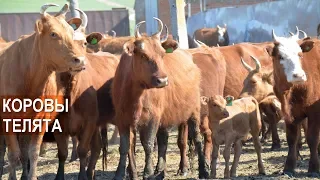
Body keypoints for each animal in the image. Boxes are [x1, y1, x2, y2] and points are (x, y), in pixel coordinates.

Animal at [0, 3, 86, 180]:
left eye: (71, 32)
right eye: (53, 33)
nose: (80, 60)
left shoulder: (40, 118)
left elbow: (32, 152)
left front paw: (31, 176)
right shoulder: (7, 119)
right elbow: (13, 153)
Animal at [112, 17, 210, 180]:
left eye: (162, 54)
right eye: (143, 55)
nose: (163, 80)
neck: (135, 95)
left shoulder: (153, 117)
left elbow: (148, 144)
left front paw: (148, 172)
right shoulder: (122, 119)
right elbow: (125, 146)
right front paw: (120, 174)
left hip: (194, 111)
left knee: (196, 138)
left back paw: (203, 170)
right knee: (164, 141)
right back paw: (161, 170)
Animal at [264, 30, 318, 176]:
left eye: (300, 54)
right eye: (280, 56)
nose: (298, 75)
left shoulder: (315, 112)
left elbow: (312, 138)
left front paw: (314, 168)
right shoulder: (288, 113)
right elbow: (292, 139)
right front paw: (288, 167)